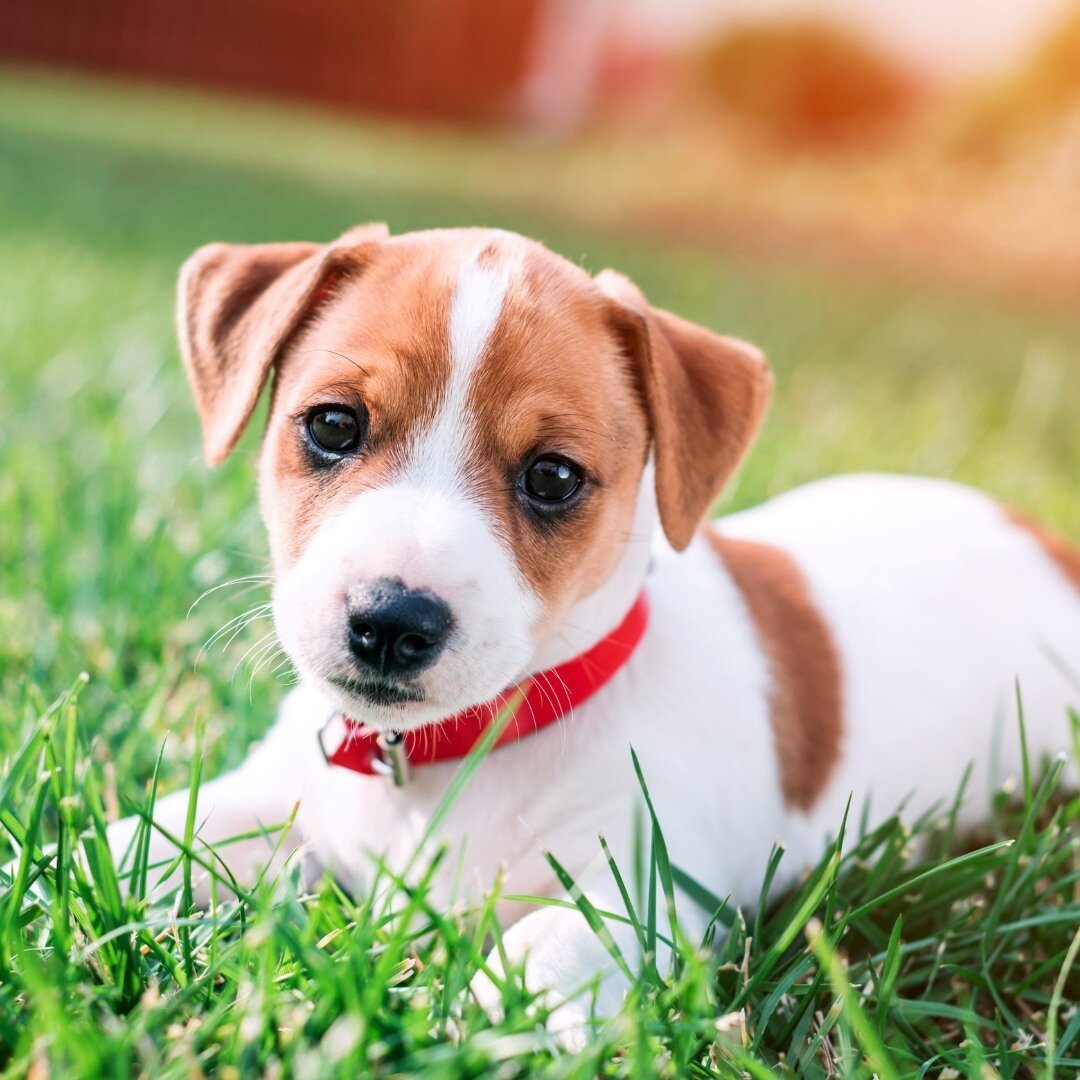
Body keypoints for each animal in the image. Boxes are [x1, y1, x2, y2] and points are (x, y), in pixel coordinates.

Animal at [109, 223, 1080, 1041]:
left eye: (552, 477)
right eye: (333, 424)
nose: (390, 621)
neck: (449, 756)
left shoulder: (647, 890)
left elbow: (539, 954)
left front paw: (477, 1028)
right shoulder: (278, 795)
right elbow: (155, 836)